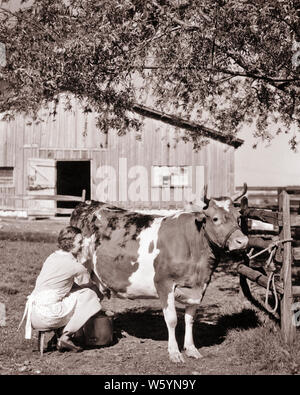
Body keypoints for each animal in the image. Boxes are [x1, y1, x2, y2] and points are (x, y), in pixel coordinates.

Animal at [70, 187, 248, 364]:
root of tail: (88, 203)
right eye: (215, 218)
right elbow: (172, 319)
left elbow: (189, 319)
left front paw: (191, 349)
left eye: (238, 217)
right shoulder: (164, 283)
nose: (242, 241)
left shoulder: (199, 287)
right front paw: (174, 352)